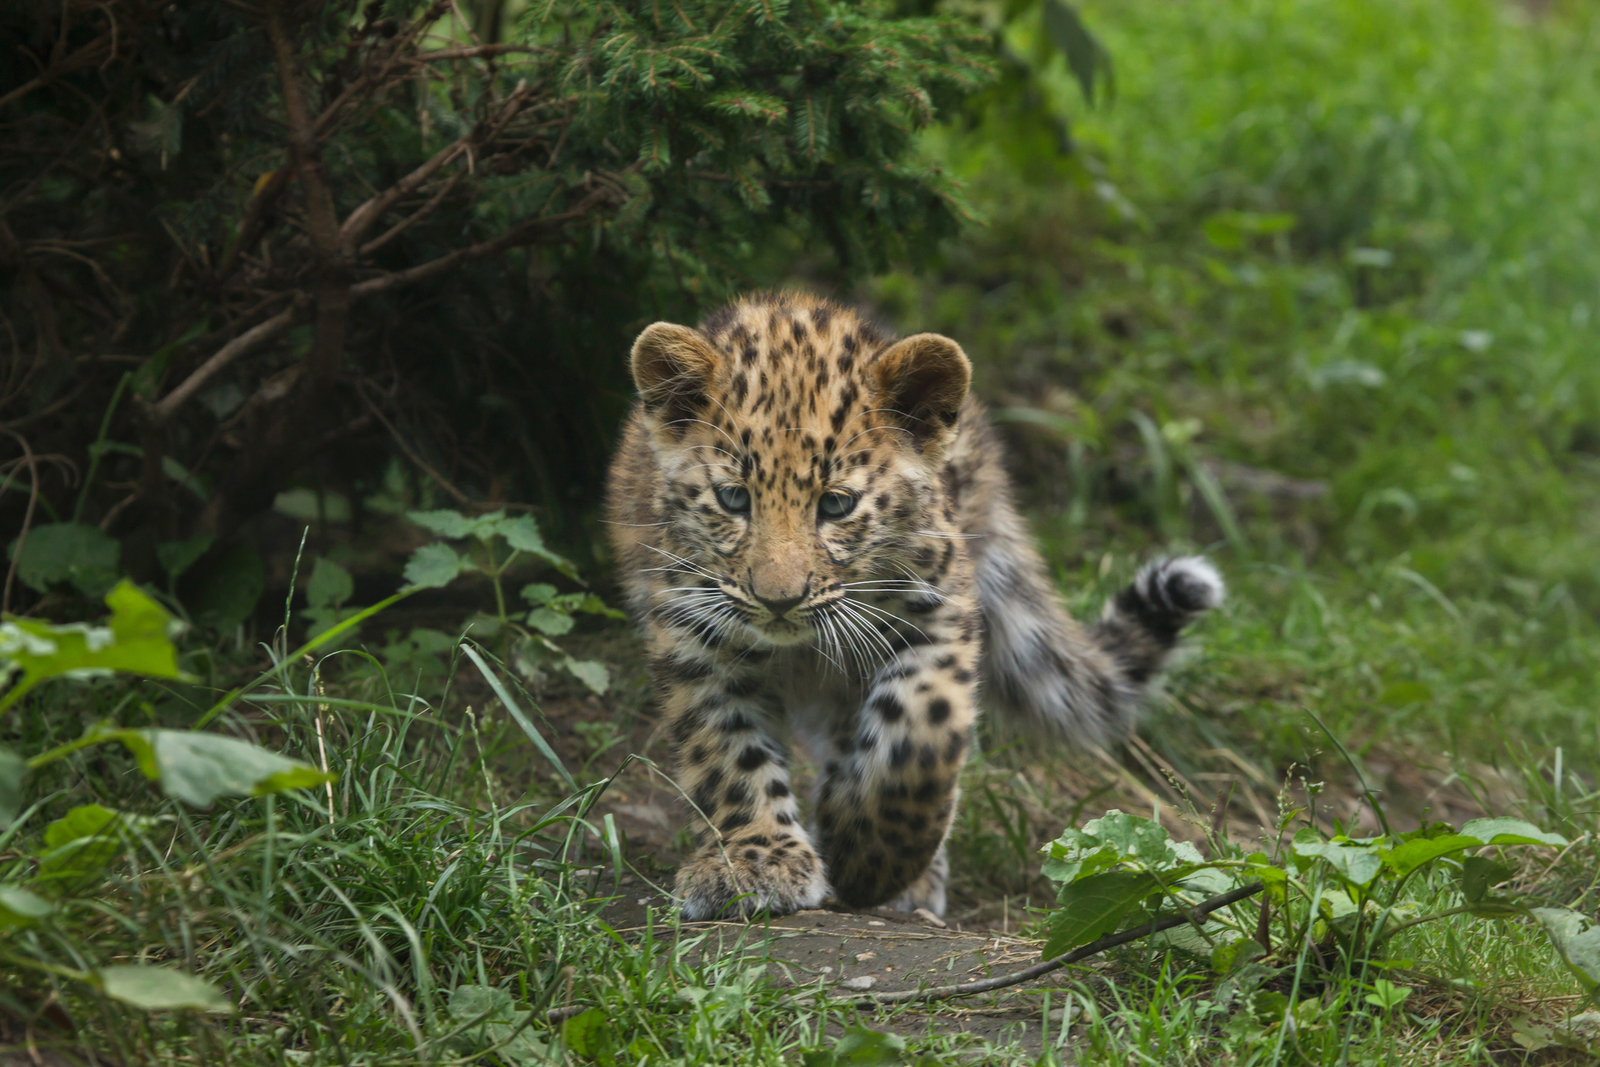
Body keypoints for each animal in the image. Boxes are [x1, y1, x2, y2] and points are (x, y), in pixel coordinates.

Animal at [604, 291, 1224, 921]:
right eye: (733, 499)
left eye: (836, 505)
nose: (779, 600)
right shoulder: (695, 636)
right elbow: (726, 754)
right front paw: (755, 863)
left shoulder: (939, 616)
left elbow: (922, 733)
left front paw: (869, 858)